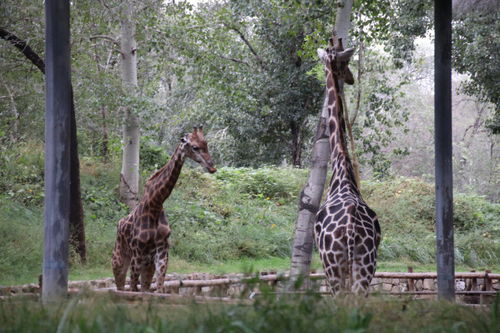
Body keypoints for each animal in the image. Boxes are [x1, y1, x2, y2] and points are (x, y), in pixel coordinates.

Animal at [112, 126, 216, 292]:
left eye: (206, 144)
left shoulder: (162, 254)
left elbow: (159, 289)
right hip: (119, 260)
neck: (155, 203)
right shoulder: (137, 254)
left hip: (147, 266)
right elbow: (133, 289)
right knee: (120, 287)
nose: (212, 167)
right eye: (195, 147)